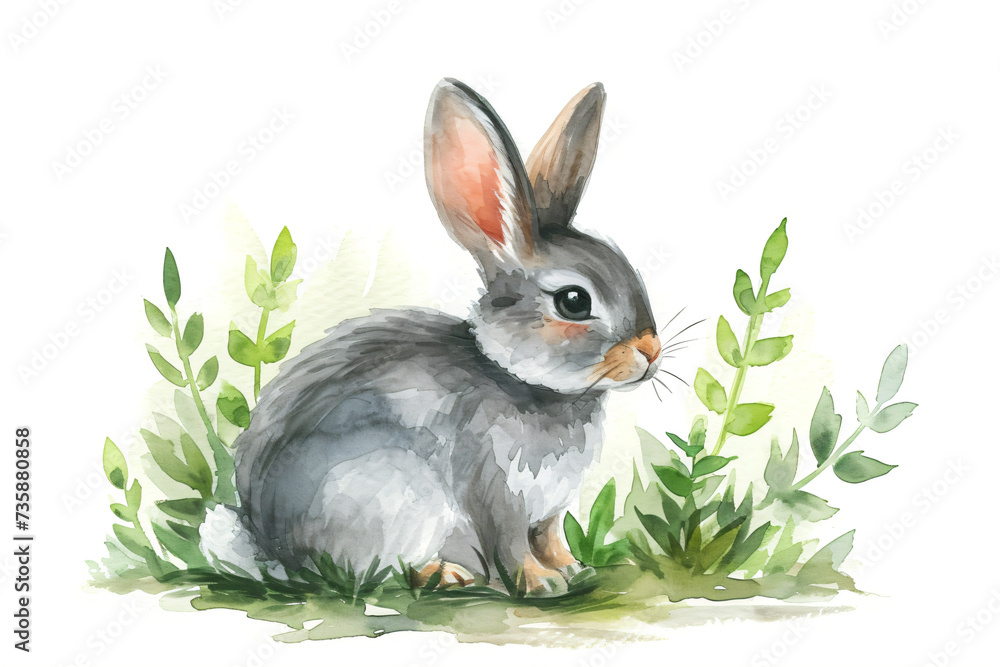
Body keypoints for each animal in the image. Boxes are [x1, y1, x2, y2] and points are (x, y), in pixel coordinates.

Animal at [234, 78, 661, 593]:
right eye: (574, 302)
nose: (651, 352)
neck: (525, 381)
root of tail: (272, 546)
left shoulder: (550, 509)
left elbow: (551, 537)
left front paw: (574, 569)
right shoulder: (494, 488)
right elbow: (512, 544)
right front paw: (541, 583)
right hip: (393, 495)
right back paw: (443, 574)